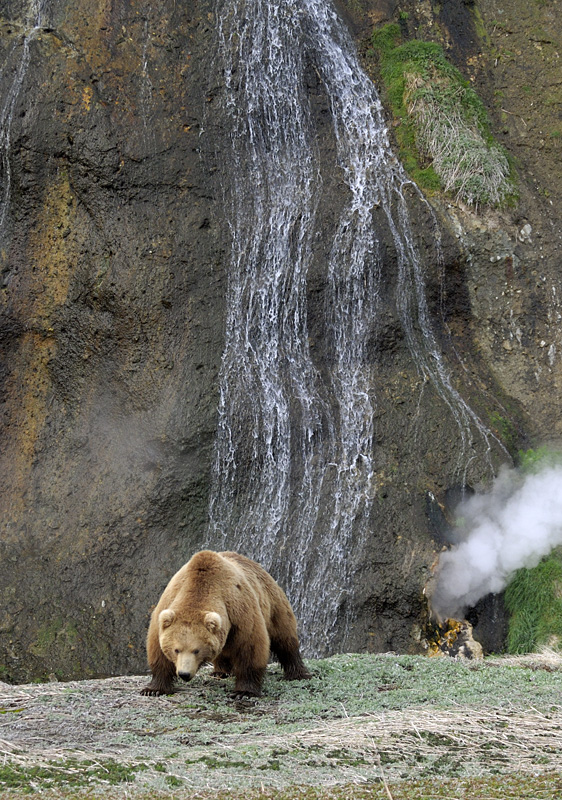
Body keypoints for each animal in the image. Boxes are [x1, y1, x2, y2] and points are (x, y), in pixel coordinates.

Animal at [138, 552, 308, 692]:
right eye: (176, 650)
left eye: (196, 650)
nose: (184, 674)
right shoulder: (167, 604)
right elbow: (157, 650)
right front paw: (154, 689)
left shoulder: (239, 610)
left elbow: (250, 646)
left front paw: (244, 691)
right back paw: (220, 671)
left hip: (273, 603)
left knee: (285, 638)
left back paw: (298, 673)